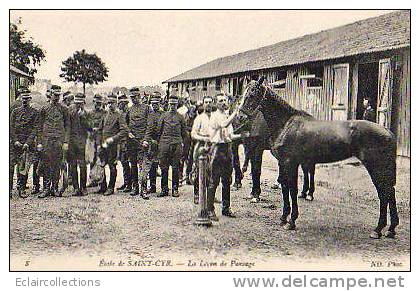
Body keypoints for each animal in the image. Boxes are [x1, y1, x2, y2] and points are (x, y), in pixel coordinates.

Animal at [238, 77, 398, 240]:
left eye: (252, 95)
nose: (240, 117)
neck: (286, 124)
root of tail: (389, 133)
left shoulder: (291, 163)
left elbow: (292, 190)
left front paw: (291, 221)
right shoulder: (283, 163)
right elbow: (285, 188)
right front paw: (283, 218)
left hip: (376, 168)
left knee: (384, 193)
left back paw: (378, 229)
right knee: (389, 192)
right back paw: (390, 229)